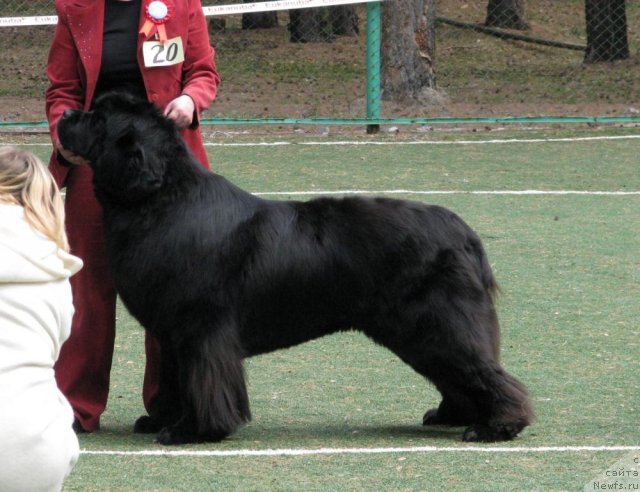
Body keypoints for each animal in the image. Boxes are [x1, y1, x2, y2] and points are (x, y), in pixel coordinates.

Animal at [57, 92, 532, 446]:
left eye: (98, 119)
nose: (63, 114)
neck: (161, 199)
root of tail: (464, 232)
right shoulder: (173, 332)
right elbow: (176, 378)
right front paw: (161, 421)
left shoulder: (201, 328)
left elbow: (202, 380)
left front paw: (193, 431)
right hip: (418, 330)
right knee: (454, 372)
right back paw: (453, 415)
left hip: (437, 321)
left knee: (482, 370)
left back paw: (498, 426)